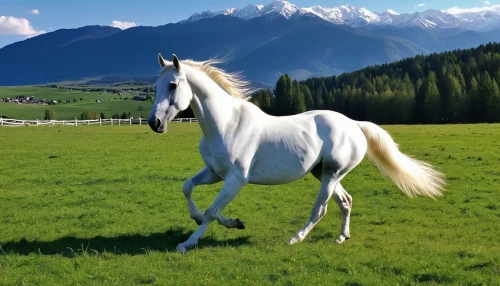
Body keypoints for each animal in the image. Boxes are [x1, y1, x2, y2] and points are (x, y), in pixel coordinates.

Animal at [147, 53, 446, 252]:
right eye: (156, 87)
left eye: (173, 85)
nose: (155, 123)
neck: (225, 123)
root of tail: (355, 124)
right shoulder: (214, 174)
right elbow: (189, 189)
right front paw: (232, 222)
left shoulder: (236, 179)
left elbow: (211, 211)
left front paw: (188, 242)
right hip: (323, 173)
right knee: (346, 201)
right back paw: (342, 237)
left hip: (331, 175)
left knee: (320, 210)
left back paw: (295, 238)